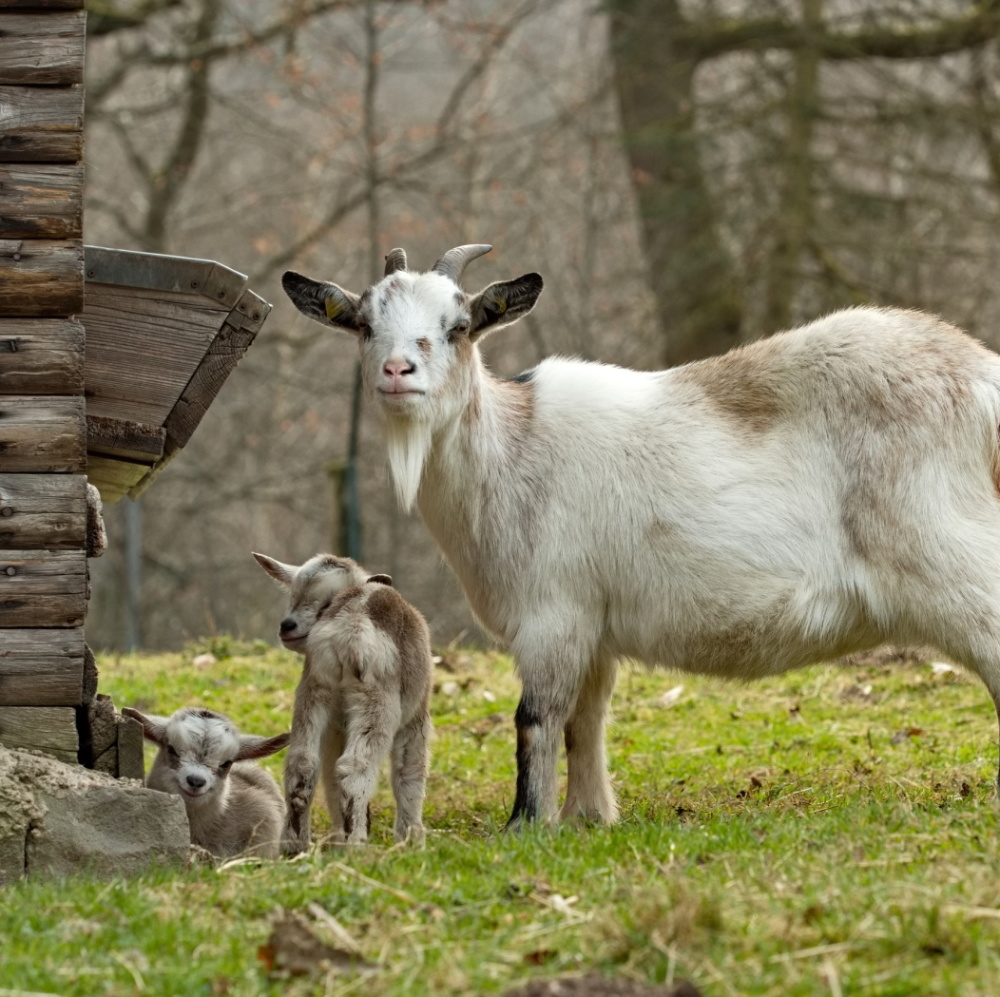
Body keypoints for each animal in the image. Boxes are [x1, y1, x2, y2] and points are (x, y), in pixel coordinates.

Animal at [254, 552, 432, 849]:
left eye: (326, 602)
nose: (287, 626)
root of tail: (351, 626)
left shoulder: (336, 725)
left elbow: (327, 775)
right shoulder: (416, 718)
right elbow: (410, 773)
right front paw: (411, 839)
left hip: (314, 692)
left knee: (302, 763)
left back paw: (295, 846)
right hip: (377, 705)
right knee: (354, 768)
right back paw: (356, 844)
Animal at [282, 243, 1000, 827]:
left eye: (457, 328)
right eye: (364, 324)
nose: (397, 371)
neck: (511, 448)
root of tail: (979, 376)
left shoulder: (553, 613)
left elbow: (536, 718)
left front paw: (527, 822)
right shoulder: (593, 626)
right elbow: (586, 719)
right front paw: (588, 815)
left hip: (949, 554)